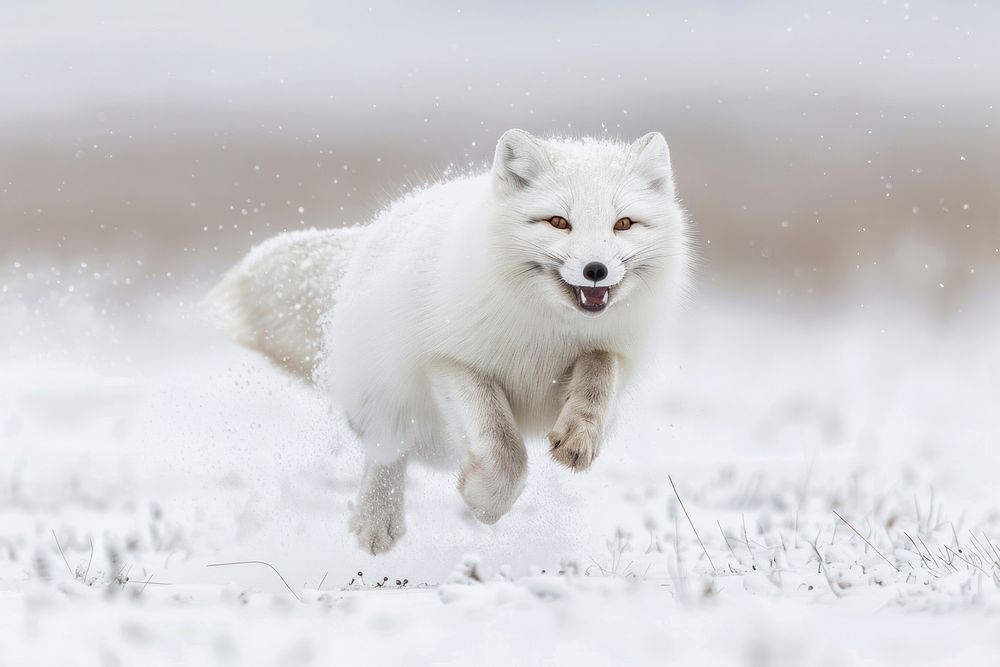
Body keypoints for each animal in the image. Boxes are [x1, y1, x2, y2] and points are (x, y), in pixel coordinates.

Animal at [209, 129, 696, 552]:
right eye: (559, 222)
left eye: (624, 224)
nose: (596, 269)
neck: (545, 332)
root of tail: (369, 236)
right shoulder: (450, 362)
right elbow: (505, 449)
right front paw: (484, 501)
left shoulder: (611, 350)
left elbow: (598, 377)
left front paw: (579, 435)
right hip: (398, 402)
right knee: (386, 448)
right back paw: (377, 522)